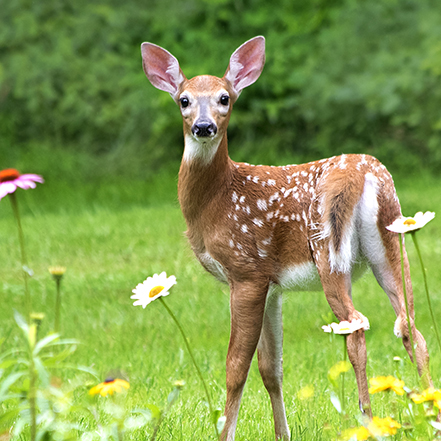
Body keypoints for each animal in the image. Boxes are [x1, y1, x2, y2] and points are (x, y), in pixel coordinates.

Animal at [142, 36, 434, 438]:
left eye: (224, 98)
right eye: (184, 100)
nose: (203, 126)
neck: (216, 200)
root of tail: (363, 173)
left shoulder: (246, 271)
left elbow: (237, 366)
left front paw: (225, 433)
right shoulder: (272, 285)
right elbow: (271, 368)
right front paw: (282, 433)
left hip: (328, 249)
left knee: (357, 327)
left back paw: (368, 420)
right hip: (391, 240)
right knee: (410, 327)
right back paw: (429, 412)